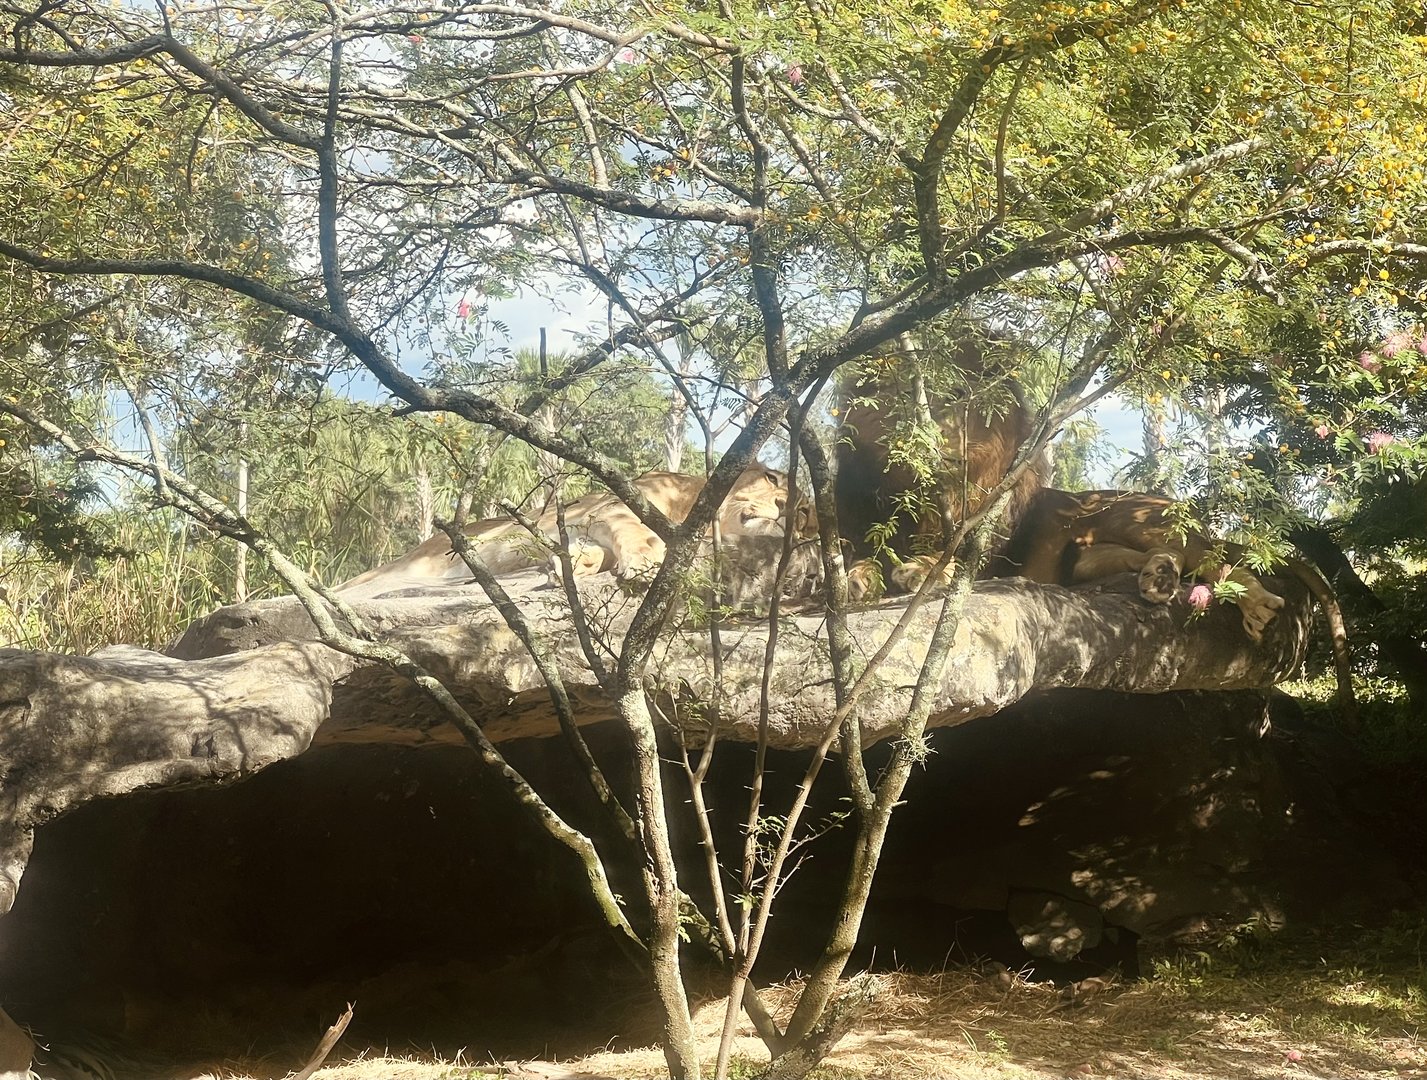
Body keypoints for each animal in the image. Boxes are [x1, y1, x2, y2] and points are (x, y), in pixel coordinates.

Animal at [334, 467, 815, 601]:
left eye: (803, 512)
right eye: (774, 480)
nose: (784, 511)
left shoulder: (591, 524)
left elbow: (594, 552)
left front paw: (569, 564)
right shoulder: (614, 506)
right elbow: (642, 535)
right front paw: (644, 565)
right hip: (402, 565)